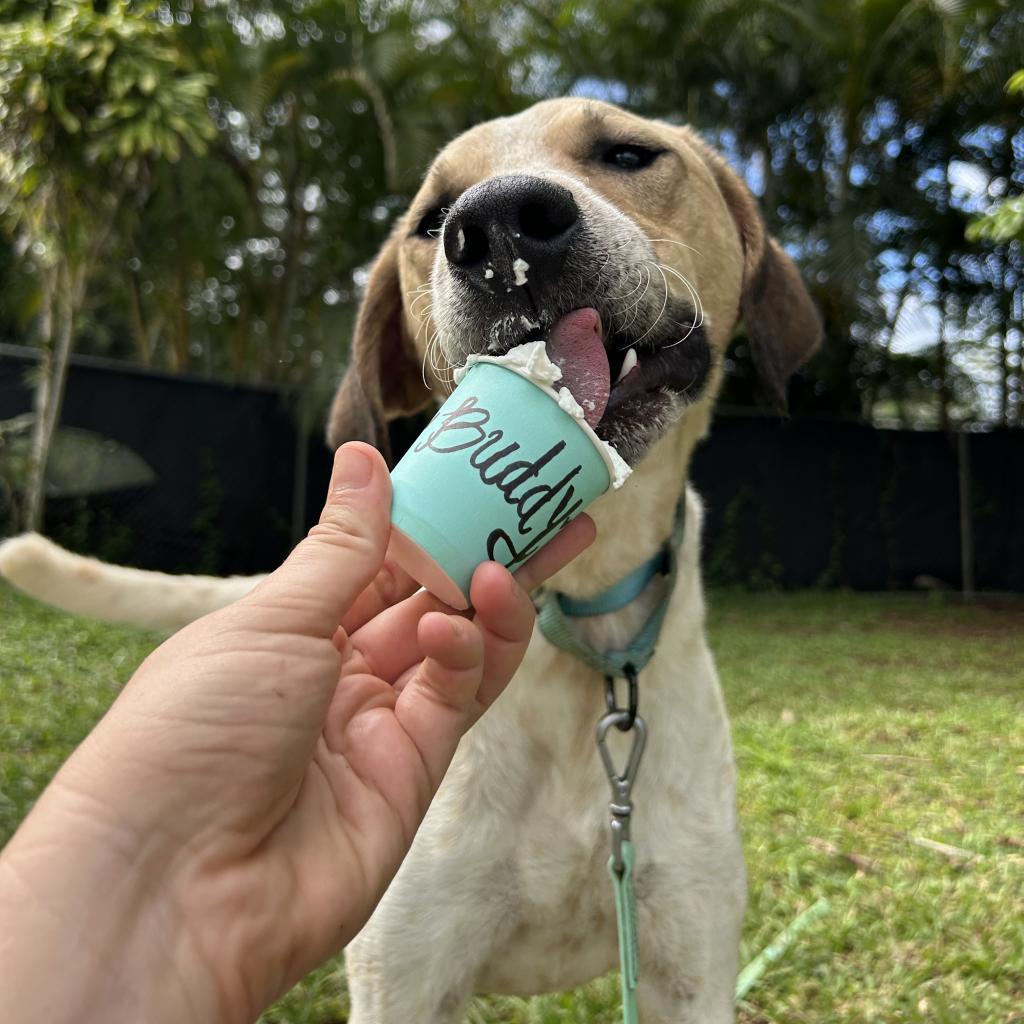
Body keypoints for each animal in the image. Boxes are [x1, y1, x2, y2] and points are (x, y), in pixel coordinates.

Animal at [0, 97, 819, 1024]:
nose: (498, 226)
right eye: (432, 219)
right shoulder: (406, 977)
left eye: (627, 153)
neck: (581, 626)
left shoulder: (692, 965)